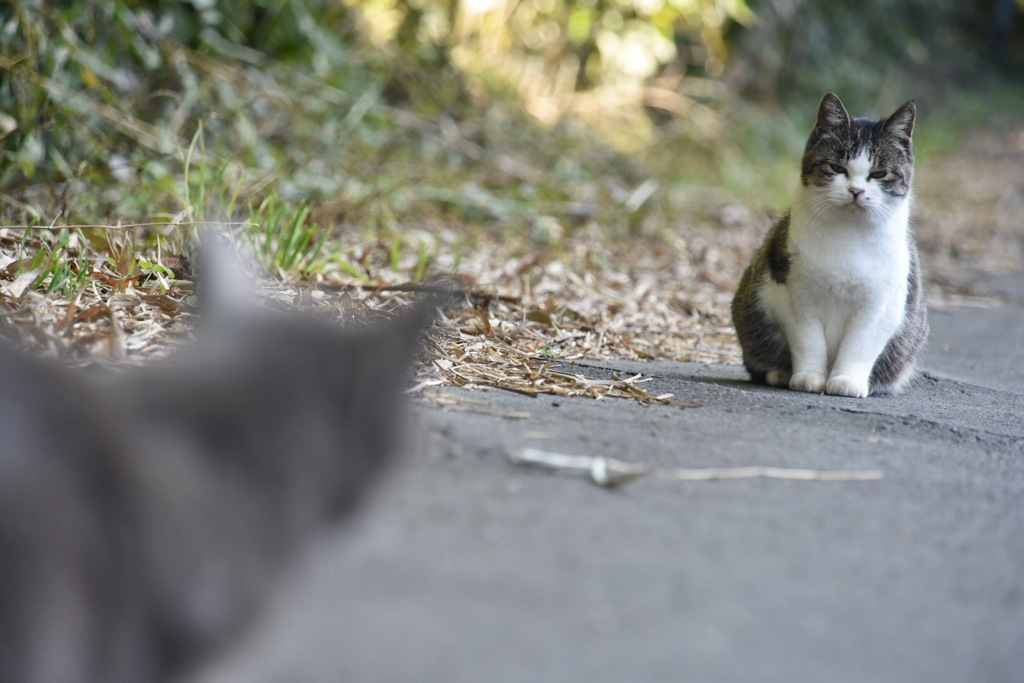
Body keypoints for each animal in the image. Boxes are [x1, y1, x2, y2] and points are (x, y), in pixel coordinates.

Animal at [729, 93, 929, 397]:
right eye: (836, 168)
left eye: (879, 173)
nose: (856, 190)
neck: (848, 237)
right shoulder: (794, 297)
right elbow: (808, 341)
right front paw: (808, 377)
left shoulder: (880, 305)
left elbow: (860, 345)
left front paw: (847, 381)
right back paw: (779, 373)